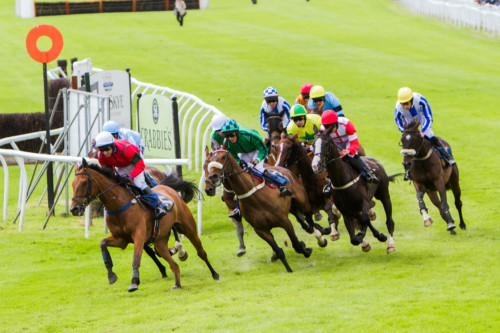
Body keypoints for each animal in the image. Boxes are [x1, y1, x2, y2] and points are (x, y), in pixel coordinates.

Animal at [70, 158, 219, 290]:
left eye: (84, 183)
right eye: (72, 184)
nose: (74, 209)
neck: (119, 204)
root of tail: (168, 188)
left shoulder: (139, 237)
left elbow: (136, 259)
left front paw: (134, 282)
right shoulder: (121, 239)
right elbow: (102, 243)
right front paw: (111, 275)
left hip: (188, 228)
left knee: (201, 252)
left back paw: (215, 274)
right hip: (160, 242)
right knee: (173, 264)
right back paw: (177, 284)